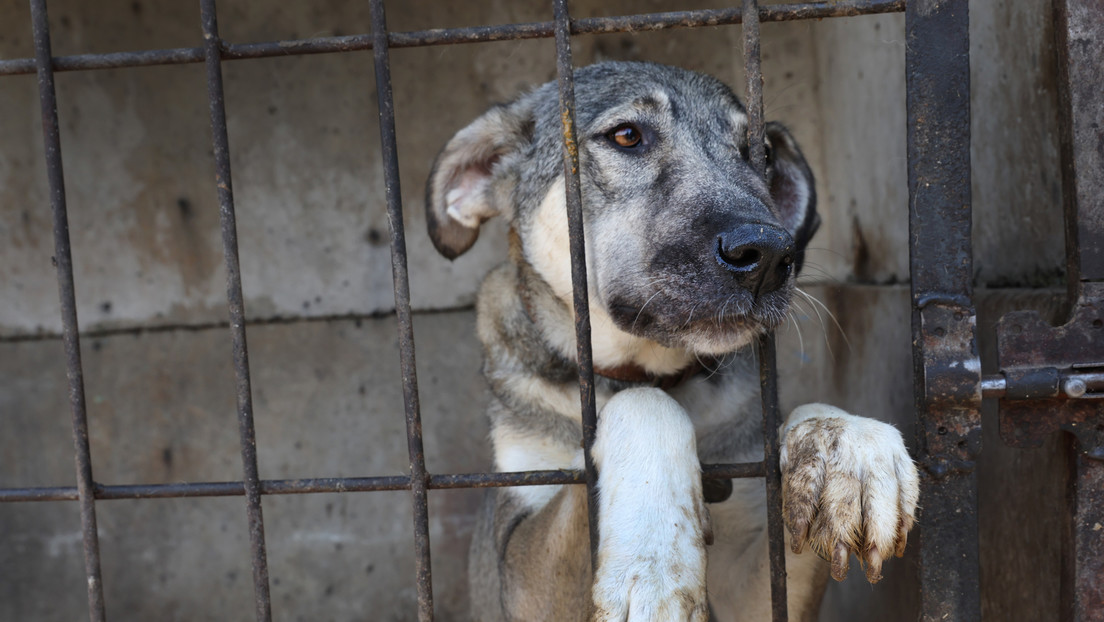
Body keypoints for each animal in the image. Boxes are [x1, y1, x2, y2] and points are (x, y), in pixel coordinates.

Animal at [426, 62, 918, 622]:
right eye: (626, 136)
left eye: (763, 154)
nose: (770, 256)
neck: (654, 369)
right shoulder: (517, 564)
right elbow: (644, 405)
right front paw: (652, 560)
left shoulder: (755, 587)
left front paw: (849, 444)